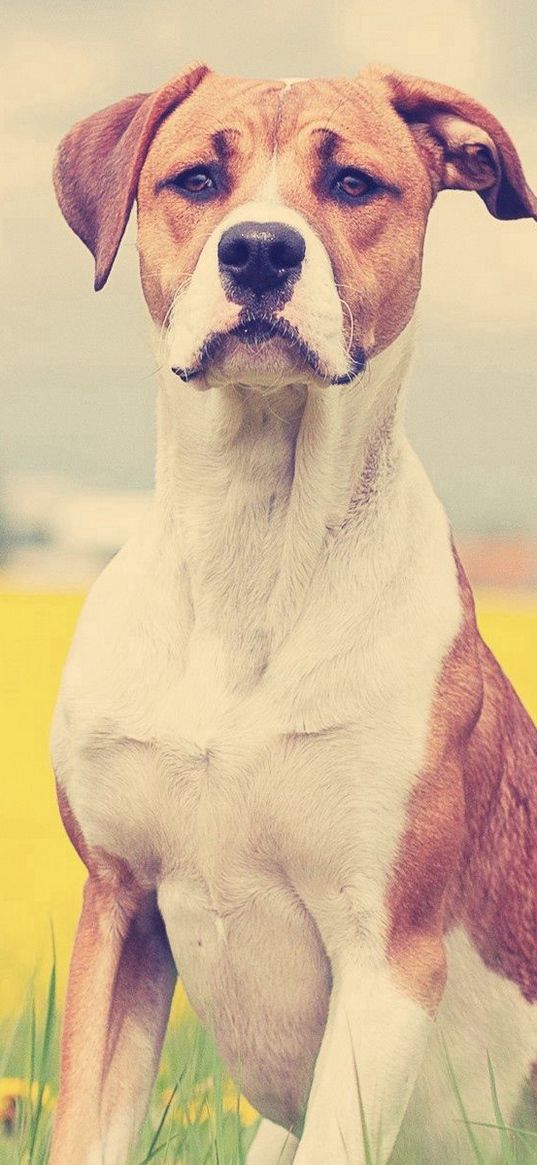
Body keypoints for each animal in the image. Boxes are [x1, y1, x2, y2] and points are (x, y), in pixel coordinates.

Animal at [49, 66, 535, 1165]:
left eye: (351, 182)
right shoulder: (119, 903)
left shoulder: (386, 959)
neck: (254, 546)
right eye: (197, 177)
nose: (261, 249)